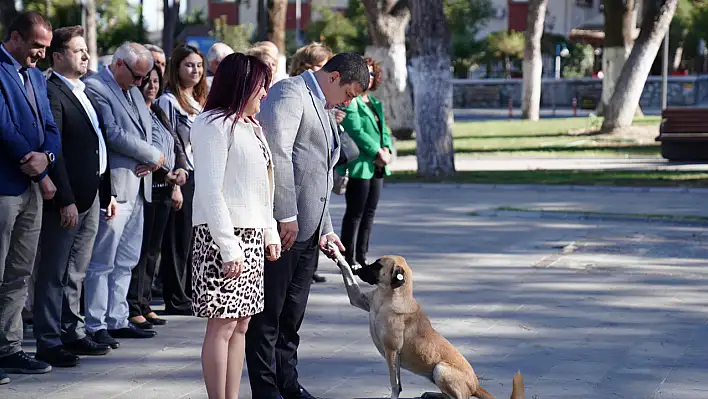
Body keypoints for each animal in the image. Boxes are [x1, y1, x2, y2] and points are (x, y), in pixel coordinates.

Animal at [330, 244, 524, 399]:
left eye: (378, 265)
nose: (358, 269)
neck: (388, 297)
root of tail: (476, 385)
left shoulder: (392, 351)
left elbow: (395, 384)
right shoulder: (358, 299)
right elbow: (347, 273)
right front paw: (338, 254)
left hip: (440, 369)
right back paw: (431, 394)